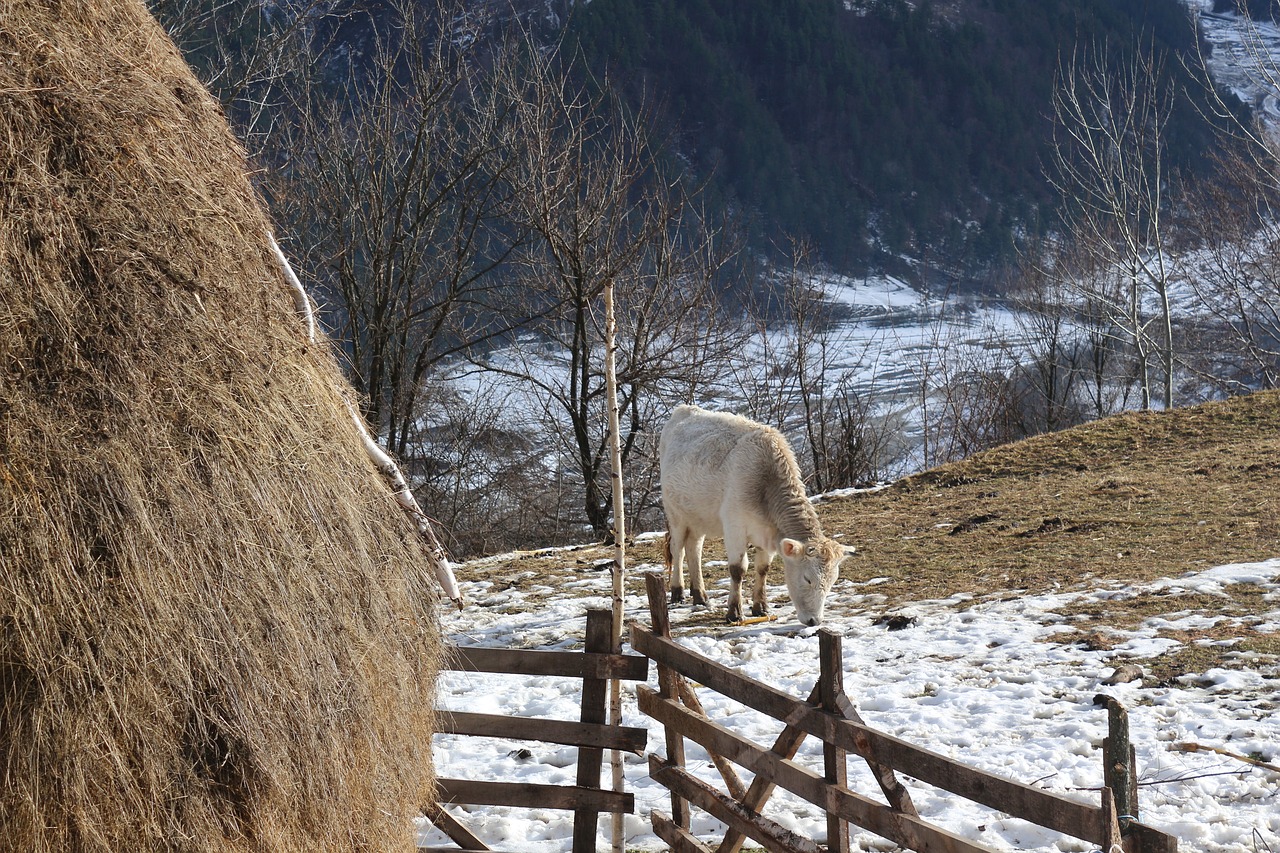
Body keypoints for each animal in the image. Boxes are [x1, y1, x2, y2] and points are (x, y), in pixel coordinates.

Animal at [660, 402, 849, 627]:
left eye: (832, 582)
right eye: (807, 578)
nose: (814, 620)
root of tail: (683, 409)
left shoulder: (767, 532)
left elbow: (763, 568)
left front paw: (761, 607)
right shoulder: (734, 526)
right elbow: (738, 569)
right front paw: (734, 612)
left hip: (698, 516)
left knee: (694, 550)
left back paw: (701, 596)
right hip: (675, 513)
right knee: (678, 549)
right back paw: (678, 592)